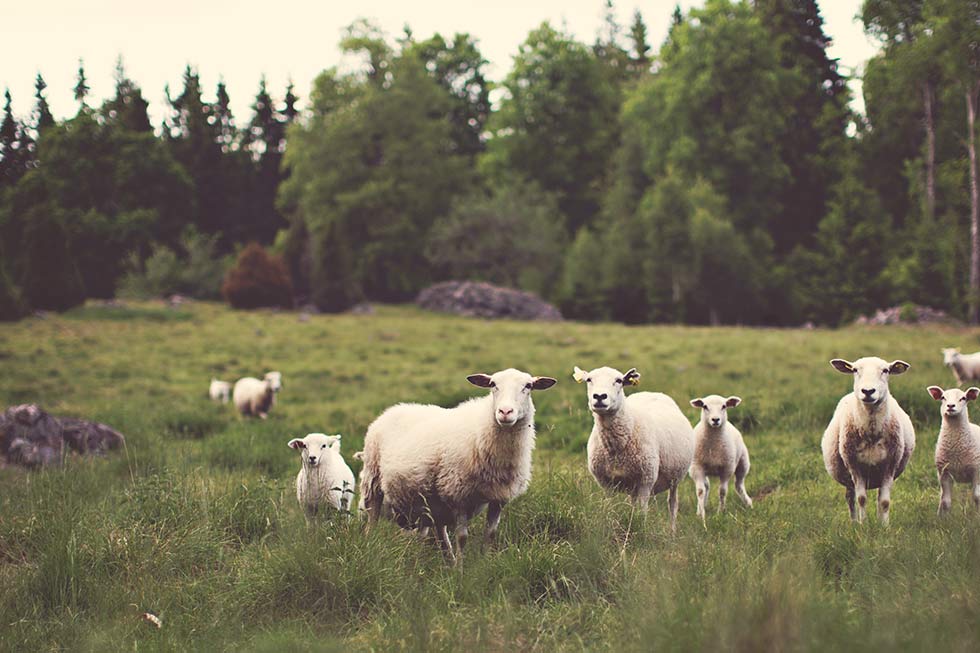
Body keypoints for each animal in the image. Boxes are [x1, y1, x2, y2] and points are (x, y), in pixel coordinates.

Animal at [360, 368, 557, 562]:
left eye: (528, 386)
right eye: (493, 384)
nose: (505, 411)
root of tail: (393, 409)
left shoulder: (498, 497)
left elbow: (490, 534)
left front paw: (485, 563)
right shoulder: (458, 495)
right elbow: (462, 538)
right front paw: (462, 569)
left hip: (432, 499)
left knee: (438, 529)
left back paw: (448, 559)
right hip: (373, 478)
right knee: (372, 518)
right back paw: (369, 545)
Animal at [573, 365, 695, 533]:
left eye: (619, 380)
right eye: (589, 379)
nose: (599, 396)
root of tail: (652, 393)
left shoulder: (646, 480)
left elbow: (642, 512)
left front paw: (641, 531)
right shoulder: (606, 482)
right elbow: (609, 508)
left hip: (675, 478)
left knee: (673, 504)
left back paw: (672, 532)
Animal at [689, 394, 752, 523]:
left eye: (724, 406)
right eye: (705, 406)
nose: (715, 420)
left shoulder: (727, 468)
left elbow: (722, 491)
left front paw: (720, 513)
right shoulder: (697, 467)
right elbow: (700, 491)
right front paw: (702, 516)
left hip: (743, 463)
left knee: (739, 485)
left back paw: (748, 503)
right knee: (706, 485)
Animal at [821, 357, 915, 525]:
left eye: (886, 370)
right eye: (855, 370)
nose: (868, 391)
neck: (871, 433)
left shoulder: (890, 465)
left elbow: (884, 502)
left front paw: (884, 526)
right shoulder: (853, 465)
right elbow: (861, 499)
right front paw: (863, 525)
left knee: (878, 498)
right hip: (849, 476)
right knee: (850, 498)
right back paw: (854, 523)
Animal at [926, 385, 980, 514]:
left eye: (963, 398)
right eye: (943, 397)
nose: (950, 406)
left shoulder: (976, 471)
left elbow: (976, 497)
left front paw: (977, 515)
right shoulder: (944, 473)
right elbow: (945, 502)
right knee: (941, 496)